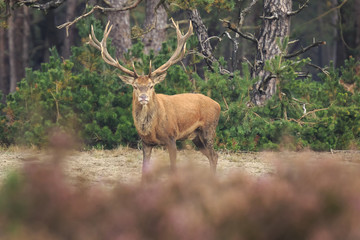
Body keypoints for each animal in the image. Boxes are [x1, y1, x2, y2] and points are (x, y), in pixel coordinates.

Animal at [88, 18, 221, 178]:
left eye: (151, 85)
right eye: (135, 86)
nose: (143, 97)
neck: (151, 128)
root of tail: (218, 105)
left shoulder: (171, 138)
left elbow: (173, 168)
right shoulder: (145, 142)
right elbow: (144, 169)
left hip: (209, 129)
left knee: (214, 155)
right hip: (196, 137)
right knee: (211, 155)